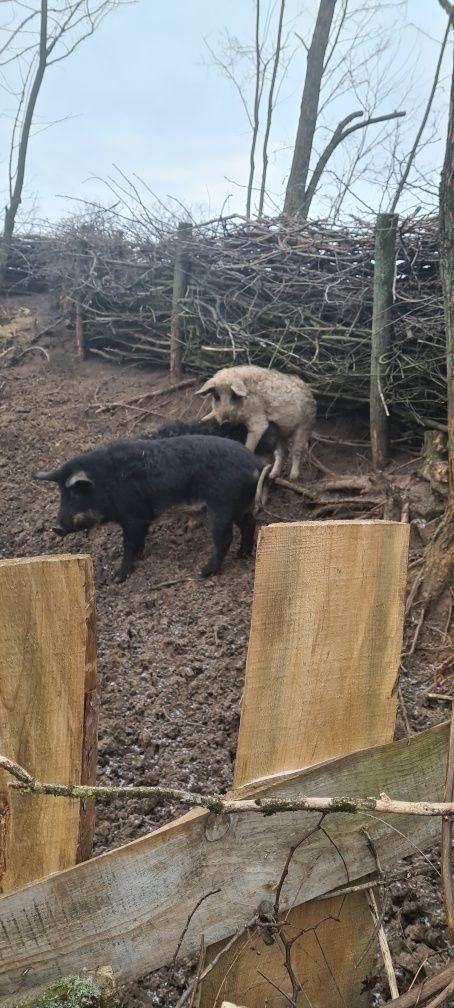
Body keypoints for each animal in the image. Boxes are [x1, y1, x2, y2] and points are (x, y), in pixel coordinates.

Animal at [33, 437, 268, 580]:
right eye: (61, 494)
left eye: (75, 493)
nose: (56, 528)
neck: (107, 482)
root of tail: (256, 464)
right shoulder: (142, 516)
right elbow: (138, 540)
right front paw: (140, 554)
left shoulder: (133, 515)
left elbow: (128, 544)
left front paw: (118, 577)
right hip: (239, 505)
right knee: (249, 523)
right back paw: (242, 555)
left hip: (222, 504)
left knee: (224, 537)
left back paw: (203, 572)